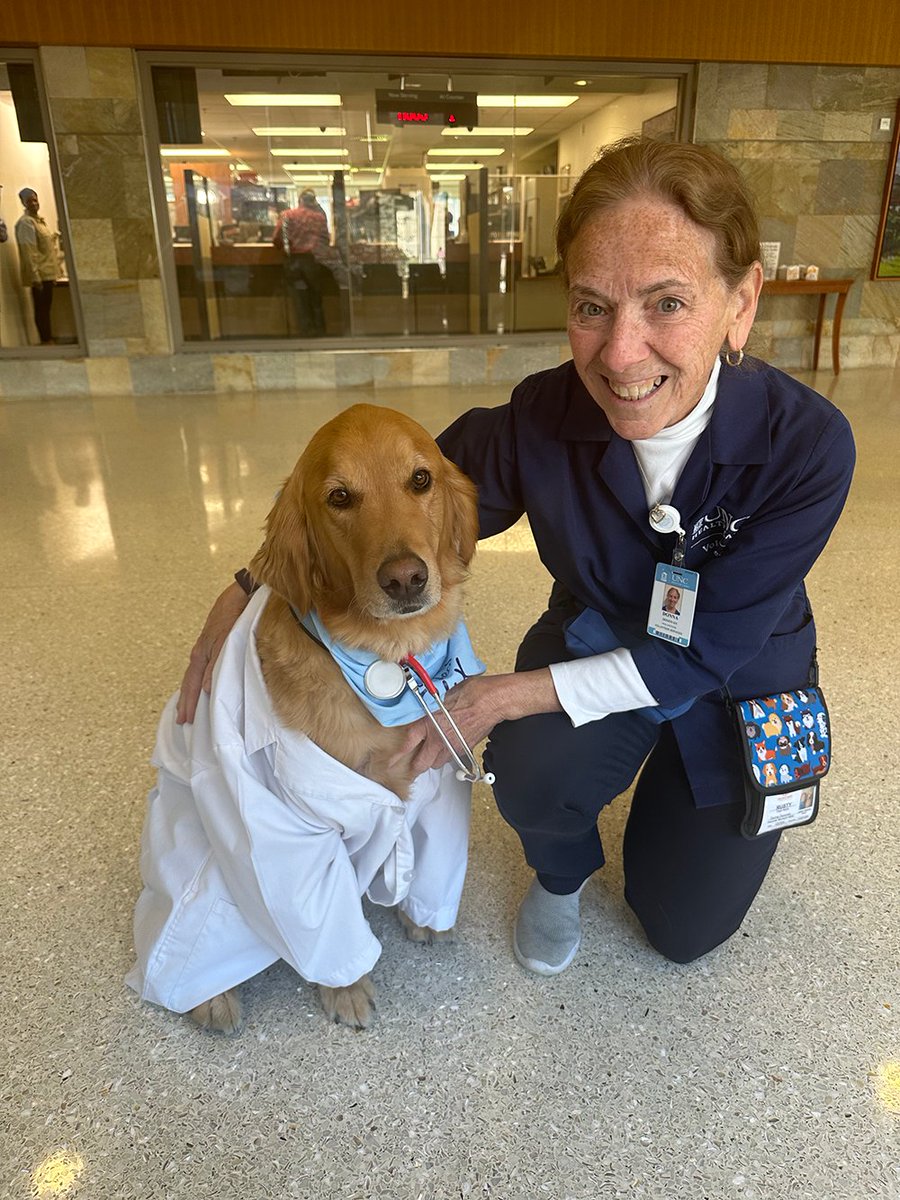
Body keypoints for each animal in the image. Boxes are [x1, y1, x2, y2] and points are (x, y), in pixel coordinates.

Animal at [189, 403, 482, 1032]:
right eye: (340, 497)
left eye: (420, 479)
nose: (406, 578)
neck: (388, 660)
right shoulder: (290, 832)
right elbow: (324, 919)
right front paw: (346, 988)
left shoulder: (439, 785)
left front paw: (422, 919)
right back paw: (209, 998)